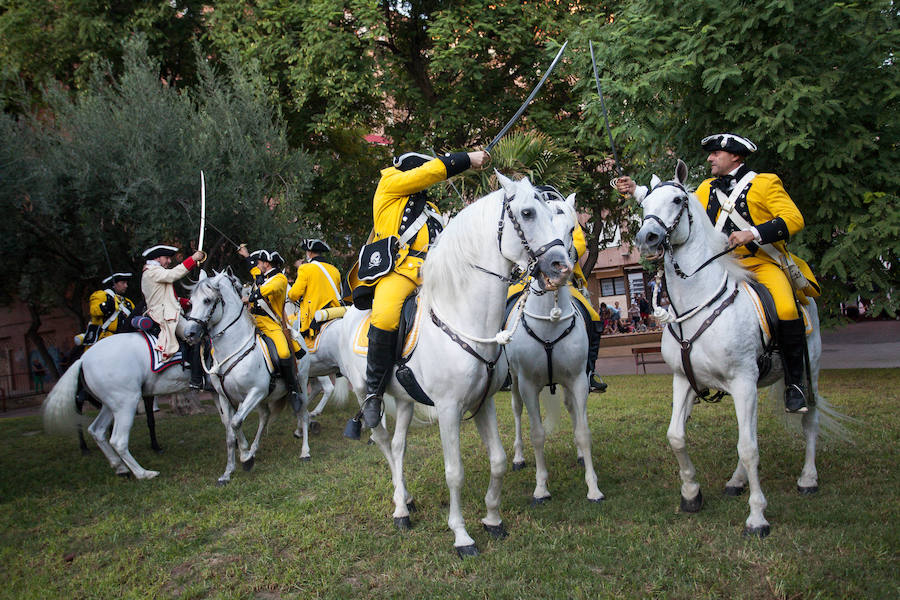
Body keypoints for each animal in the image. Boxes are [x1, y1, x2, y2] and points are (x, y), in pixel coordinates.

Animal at [42, 328, 193, 478]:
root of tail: (83, 359)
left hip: (111, 405)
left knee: (97, 430)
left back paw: (120, 467)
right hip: (126, 402)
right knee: (118, 441)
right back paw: (143, 473)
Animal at [181, 270, 312, 486]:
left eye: (207, 300)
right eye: (191, 302)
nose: (189, 333)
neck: (233, 347)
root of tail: (295, 333)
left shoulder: (255, 392)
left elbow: (235, 423)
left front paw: (244, 457)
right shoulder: (226, 398)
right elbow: (230, 430)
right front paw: (230, 470)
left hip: (299, 385)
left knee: (303, 413)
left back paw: (305, 452)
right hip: (264, 398)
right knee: (264, 416)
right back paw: (253, 450)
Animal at [338, 171, 568, 556]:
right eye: (527, 213)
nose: (560, 266)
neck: (464, 317)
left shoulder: (484, 402)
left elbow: (498, 461)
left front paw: (493, 519)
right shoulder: (448, 409)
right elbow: (454, 472)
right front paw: (461, 535)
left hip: (404, 400)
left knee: (398, 447)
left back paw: (406, 502)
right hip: (365, 394)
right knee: (383, 441)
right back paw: (399, 507)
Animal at [506, 195, 604, 504]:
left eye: (571, 227)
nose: (559, 269)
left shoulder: (578, 379)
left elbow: (583, 431)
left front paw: (593, 487)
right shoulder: (527, 384)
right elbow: (537, 433)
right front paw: (541, 488)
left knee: (572, 409)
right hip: (514, 382)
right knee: (516, 411)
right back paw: (518, 457)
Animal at [632, 161, 828, 540]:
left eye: (677, 199)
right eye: (644, 202)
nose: (647, 238)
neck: (697, 302)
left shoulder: (742, 382)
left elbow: (749, 448)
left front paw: (757, 517)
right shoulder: (685, 380)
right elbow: (677, 436)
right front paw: (691, 494)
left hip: (807, 372)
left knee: (808, 418)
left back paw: (809, 478)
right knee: (749, 430)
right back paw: (737, 481)